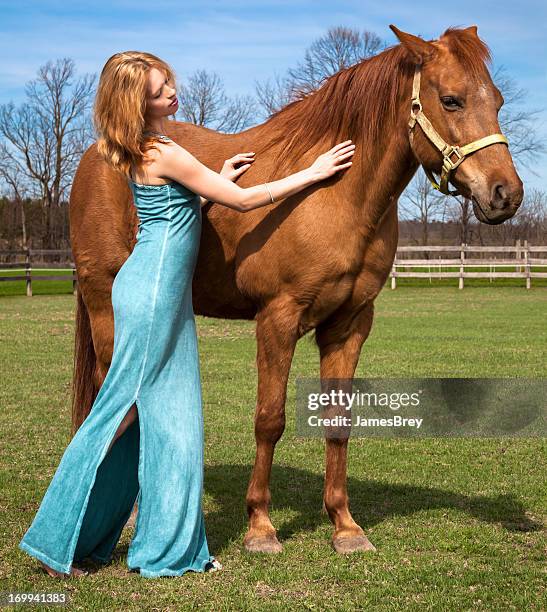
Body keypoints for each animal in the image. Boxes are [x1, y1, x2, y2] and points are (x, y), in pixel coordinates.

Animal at [69, 25, 528, 556]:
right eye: (451, 100)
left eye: (497, 100)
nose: (506, 194)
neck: (335, 197)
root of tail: (100, 152)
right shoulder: (278, 319)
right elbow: (270, 419)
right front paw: (261, 527)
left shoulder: (349, 325)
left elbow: (338, 421)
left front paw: (345, 527)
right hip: (106, 306)